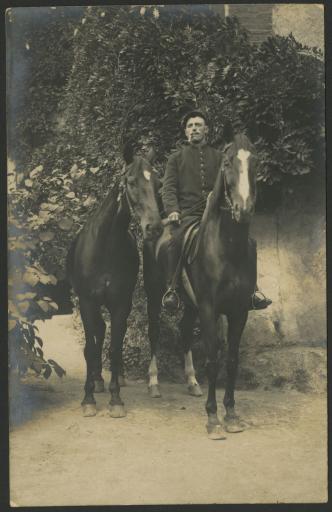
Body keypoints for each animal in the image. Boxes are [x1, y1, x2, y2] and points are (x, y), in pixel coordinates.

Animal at [67, 146, 163, 418]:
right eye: (131, 182)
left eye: (158, 183)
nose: (154, 227)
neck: (106, 245)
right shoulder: (87, 302)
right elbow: (91, 347)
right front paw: (88, 399)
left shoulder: (120, 304)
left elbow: (115, 347)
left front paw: (116, 399)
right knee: (98, 334)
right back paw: (97, 380)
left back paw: (113, 378)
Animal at [144, 133, 258, 440]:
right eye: (228, 163)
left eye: (254, 162)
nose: (243, 210)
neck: (228, 249)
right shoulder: (209, 309)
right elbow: (212, 360)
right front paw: (213, 419)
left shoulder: (239, 311)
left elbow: (231, 361)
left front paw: (231, 414)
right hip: (155, 296)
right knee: (154, 333)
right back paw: (154, 384)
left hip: (191, 304)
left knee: (184, 332)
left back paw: (192, 382)